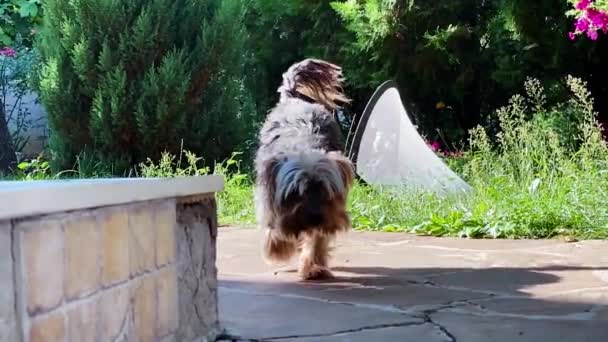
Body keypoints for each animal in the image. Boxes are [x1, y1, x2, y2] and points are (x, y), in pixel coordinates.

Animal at [253, 57, 356, 280]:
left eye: (325, 189)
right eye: (295, 192)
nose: (315, 216)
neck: (304, 144)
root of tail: (294, 99)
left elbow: (317, 237)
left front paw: (314, 266)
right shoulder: (269, 193)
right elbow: (274, 224)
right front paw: (278, 246)